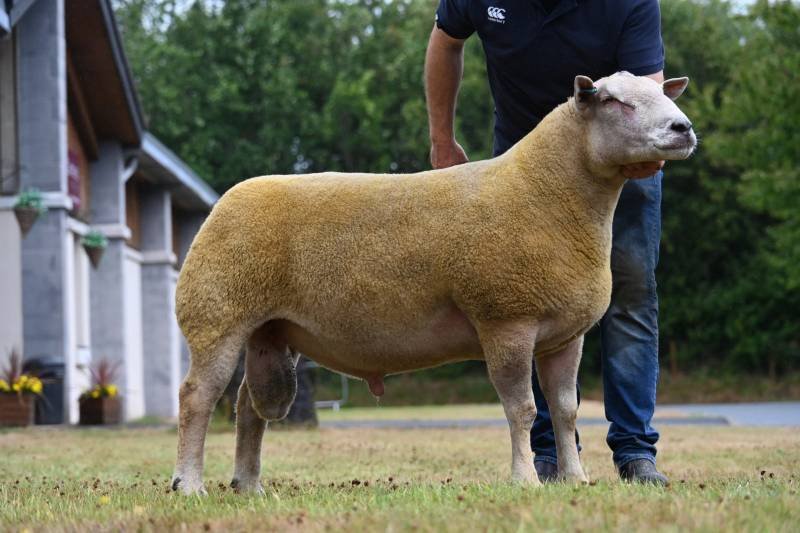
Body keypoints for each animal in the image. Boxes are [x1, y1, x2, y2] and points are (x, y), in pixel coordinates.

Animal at [171, 72, 696, 495]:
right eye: (613, 101)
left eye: (659, 93)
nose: (683, 129)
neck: (546, 193)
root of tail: (227, 200)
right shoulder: (506, 319)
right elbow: (523, 410)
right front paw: (526, 479)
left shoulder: (565, 336)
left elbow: (565, 409)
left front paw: (575, 479)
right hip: (217, 315)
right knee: (197, 397)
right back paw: (189, 484)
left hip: (270, 331)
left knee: (247, 408)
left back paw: (248, 484)